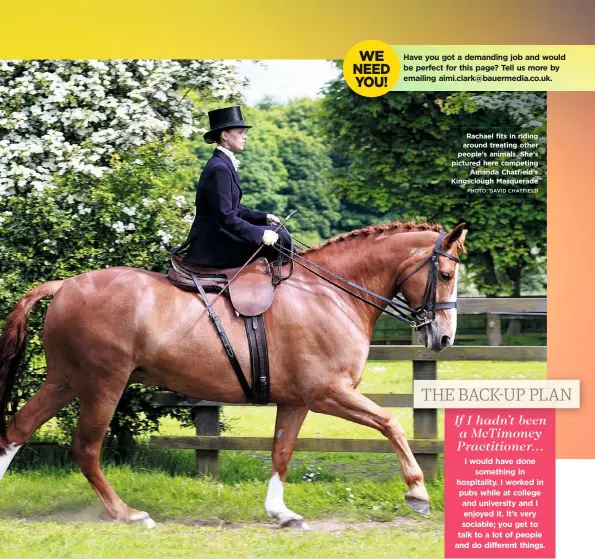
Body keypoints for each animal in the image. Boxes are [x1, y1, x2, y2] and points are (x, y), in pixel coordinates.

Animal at [0, 220, 466, 528]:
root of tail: (64, 285)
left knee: (17, 429)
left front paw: (281, 512)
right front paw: (418, 492)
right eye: (445, 274)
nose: (443, 338)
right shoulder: (328, 393)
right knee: (85, 449)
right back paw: (128, 514)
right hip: (103, 386)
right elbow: (390, 423)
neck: (330, 294)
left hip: (64, 382)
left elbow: (282, 452)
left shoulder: (296, 401)